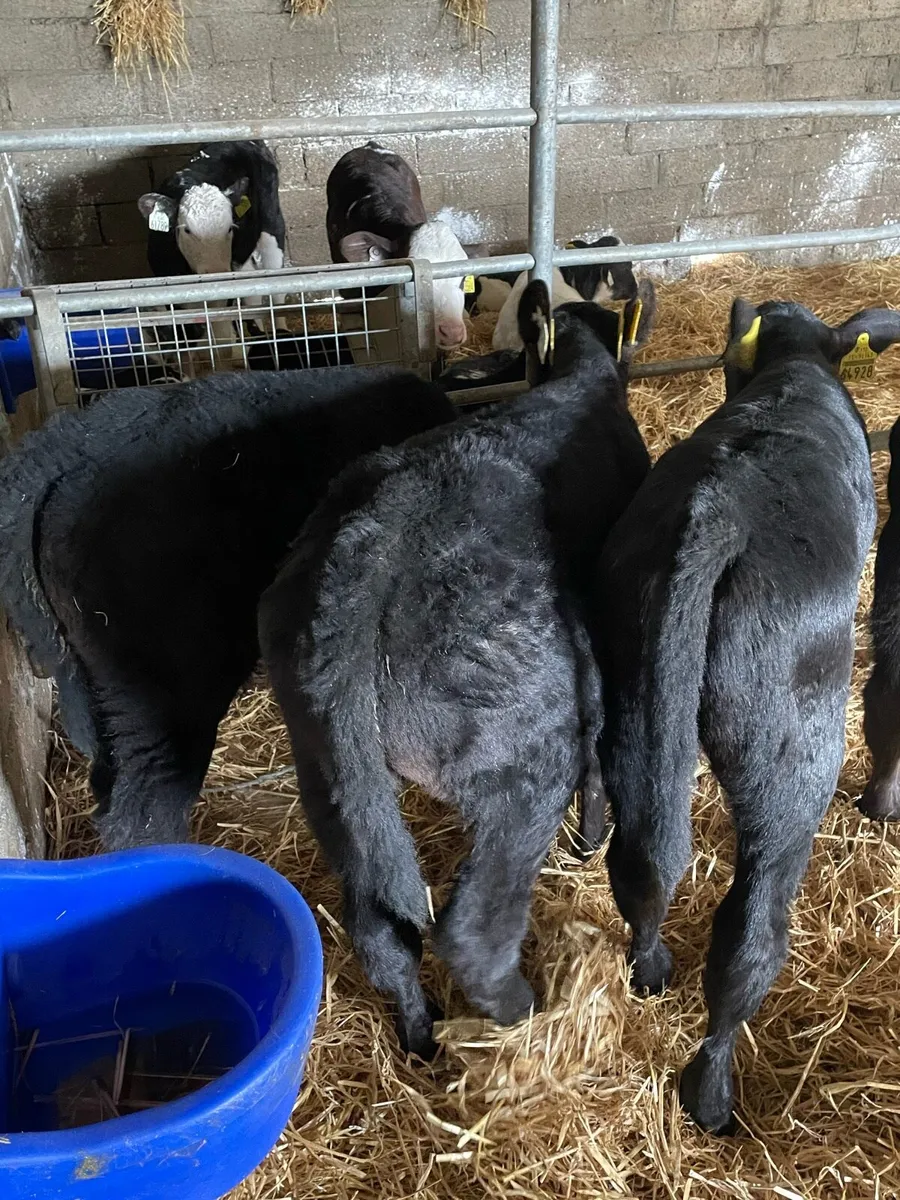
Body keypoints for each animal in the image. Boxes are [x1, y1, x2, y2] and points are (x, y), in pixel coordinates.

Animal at [258, 278, 655, 1060]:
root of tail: (374, 543)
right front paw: (593, 837)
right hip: (525, 763)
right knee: (474, 931)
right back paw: (524, 1016)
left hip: (327, 776)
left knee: (380, 929)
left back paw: (420, 1035)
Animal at [591, 299, 900, 1135]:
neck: (795, 369)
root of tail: (719, 510)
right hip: (793, 757)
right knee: (748, 933)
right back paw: (711, 1096)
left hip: (635, 701)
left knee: (646, 857)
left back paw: (649, 969)